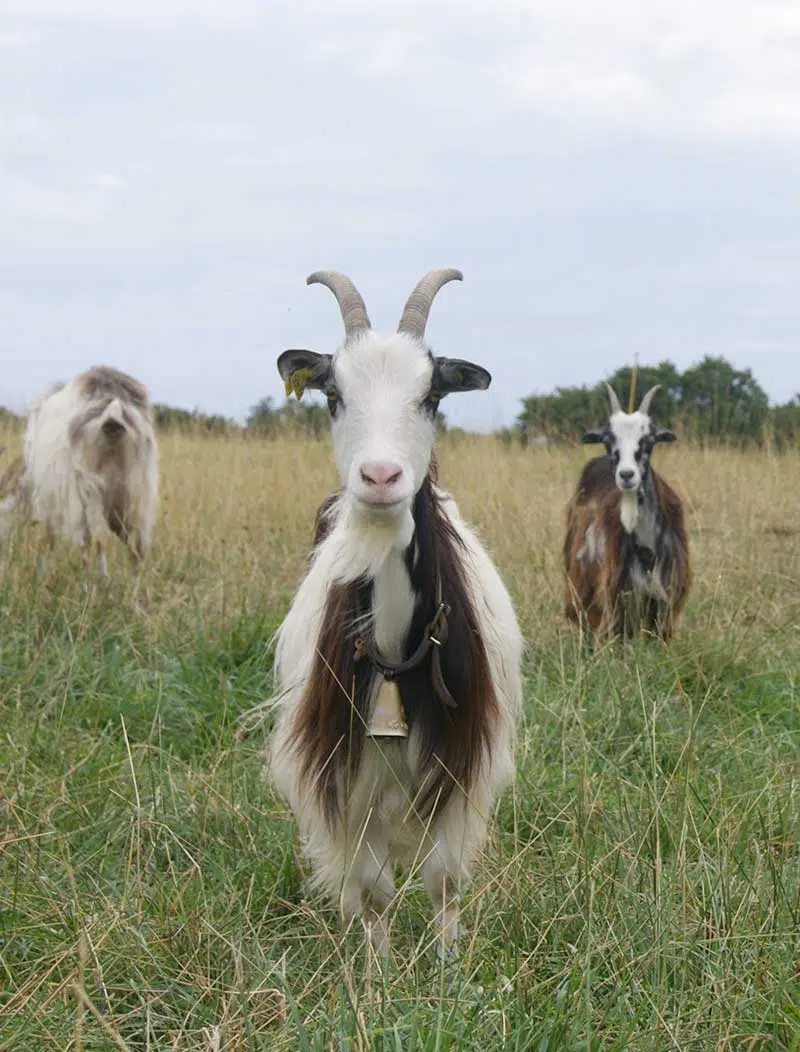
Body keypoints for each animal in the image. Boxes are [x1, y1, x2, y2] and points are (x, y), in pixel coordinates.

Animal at [264, 271, 524, 963]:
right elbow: (375, 888)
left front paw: (448, 969)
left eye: (431, 395)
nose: (380, 476)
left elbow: (444, 879)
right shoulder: (350, 782)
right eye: (333, 394)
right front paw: (378, 976)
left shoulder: (459, 767)